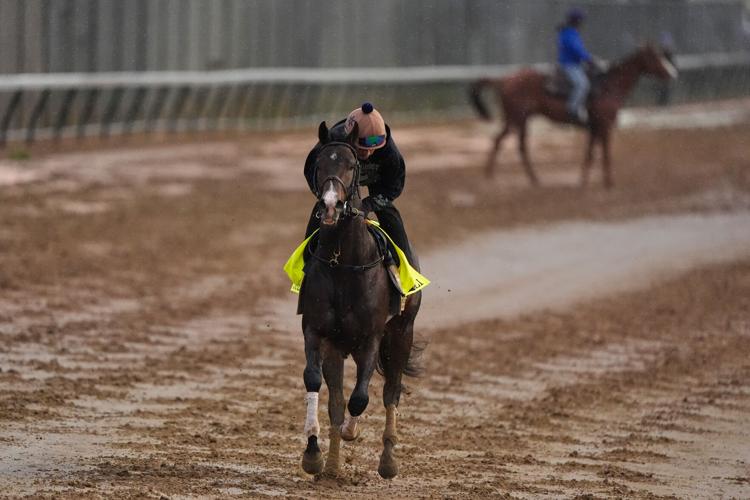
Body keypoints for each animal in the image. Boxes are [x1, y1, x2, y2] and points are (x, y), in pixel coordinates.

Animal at [299, 120, 422, 479]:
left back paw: (388, 461)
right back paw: (332, 467)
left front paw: (352, 432)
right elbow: (319, 386)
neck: (345, 262)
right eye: (320, 164)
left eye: (351, 165)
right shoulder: (318, 333)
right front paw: (314, 455)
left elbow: (360, 399)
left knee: (390, 391)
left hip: (401, 334)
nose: (330, 205)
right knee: (338, 399)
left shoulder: (371, 338)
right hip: (341, 346)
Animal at [470, 44, 678, 188]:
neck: (609, 86)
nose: (673, 73)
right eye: (655, 57)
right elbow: (605, 153)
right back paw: (495, 177)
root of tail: (505, 79)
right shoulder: (604, 125)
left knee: (512, 145)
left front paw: (582, 181)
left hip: (519, 120)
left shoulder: (594, 127)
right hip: (517, 119)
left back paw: (531, 179)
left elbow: (590, 153)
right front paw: (608, 182)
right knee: (504, 142)